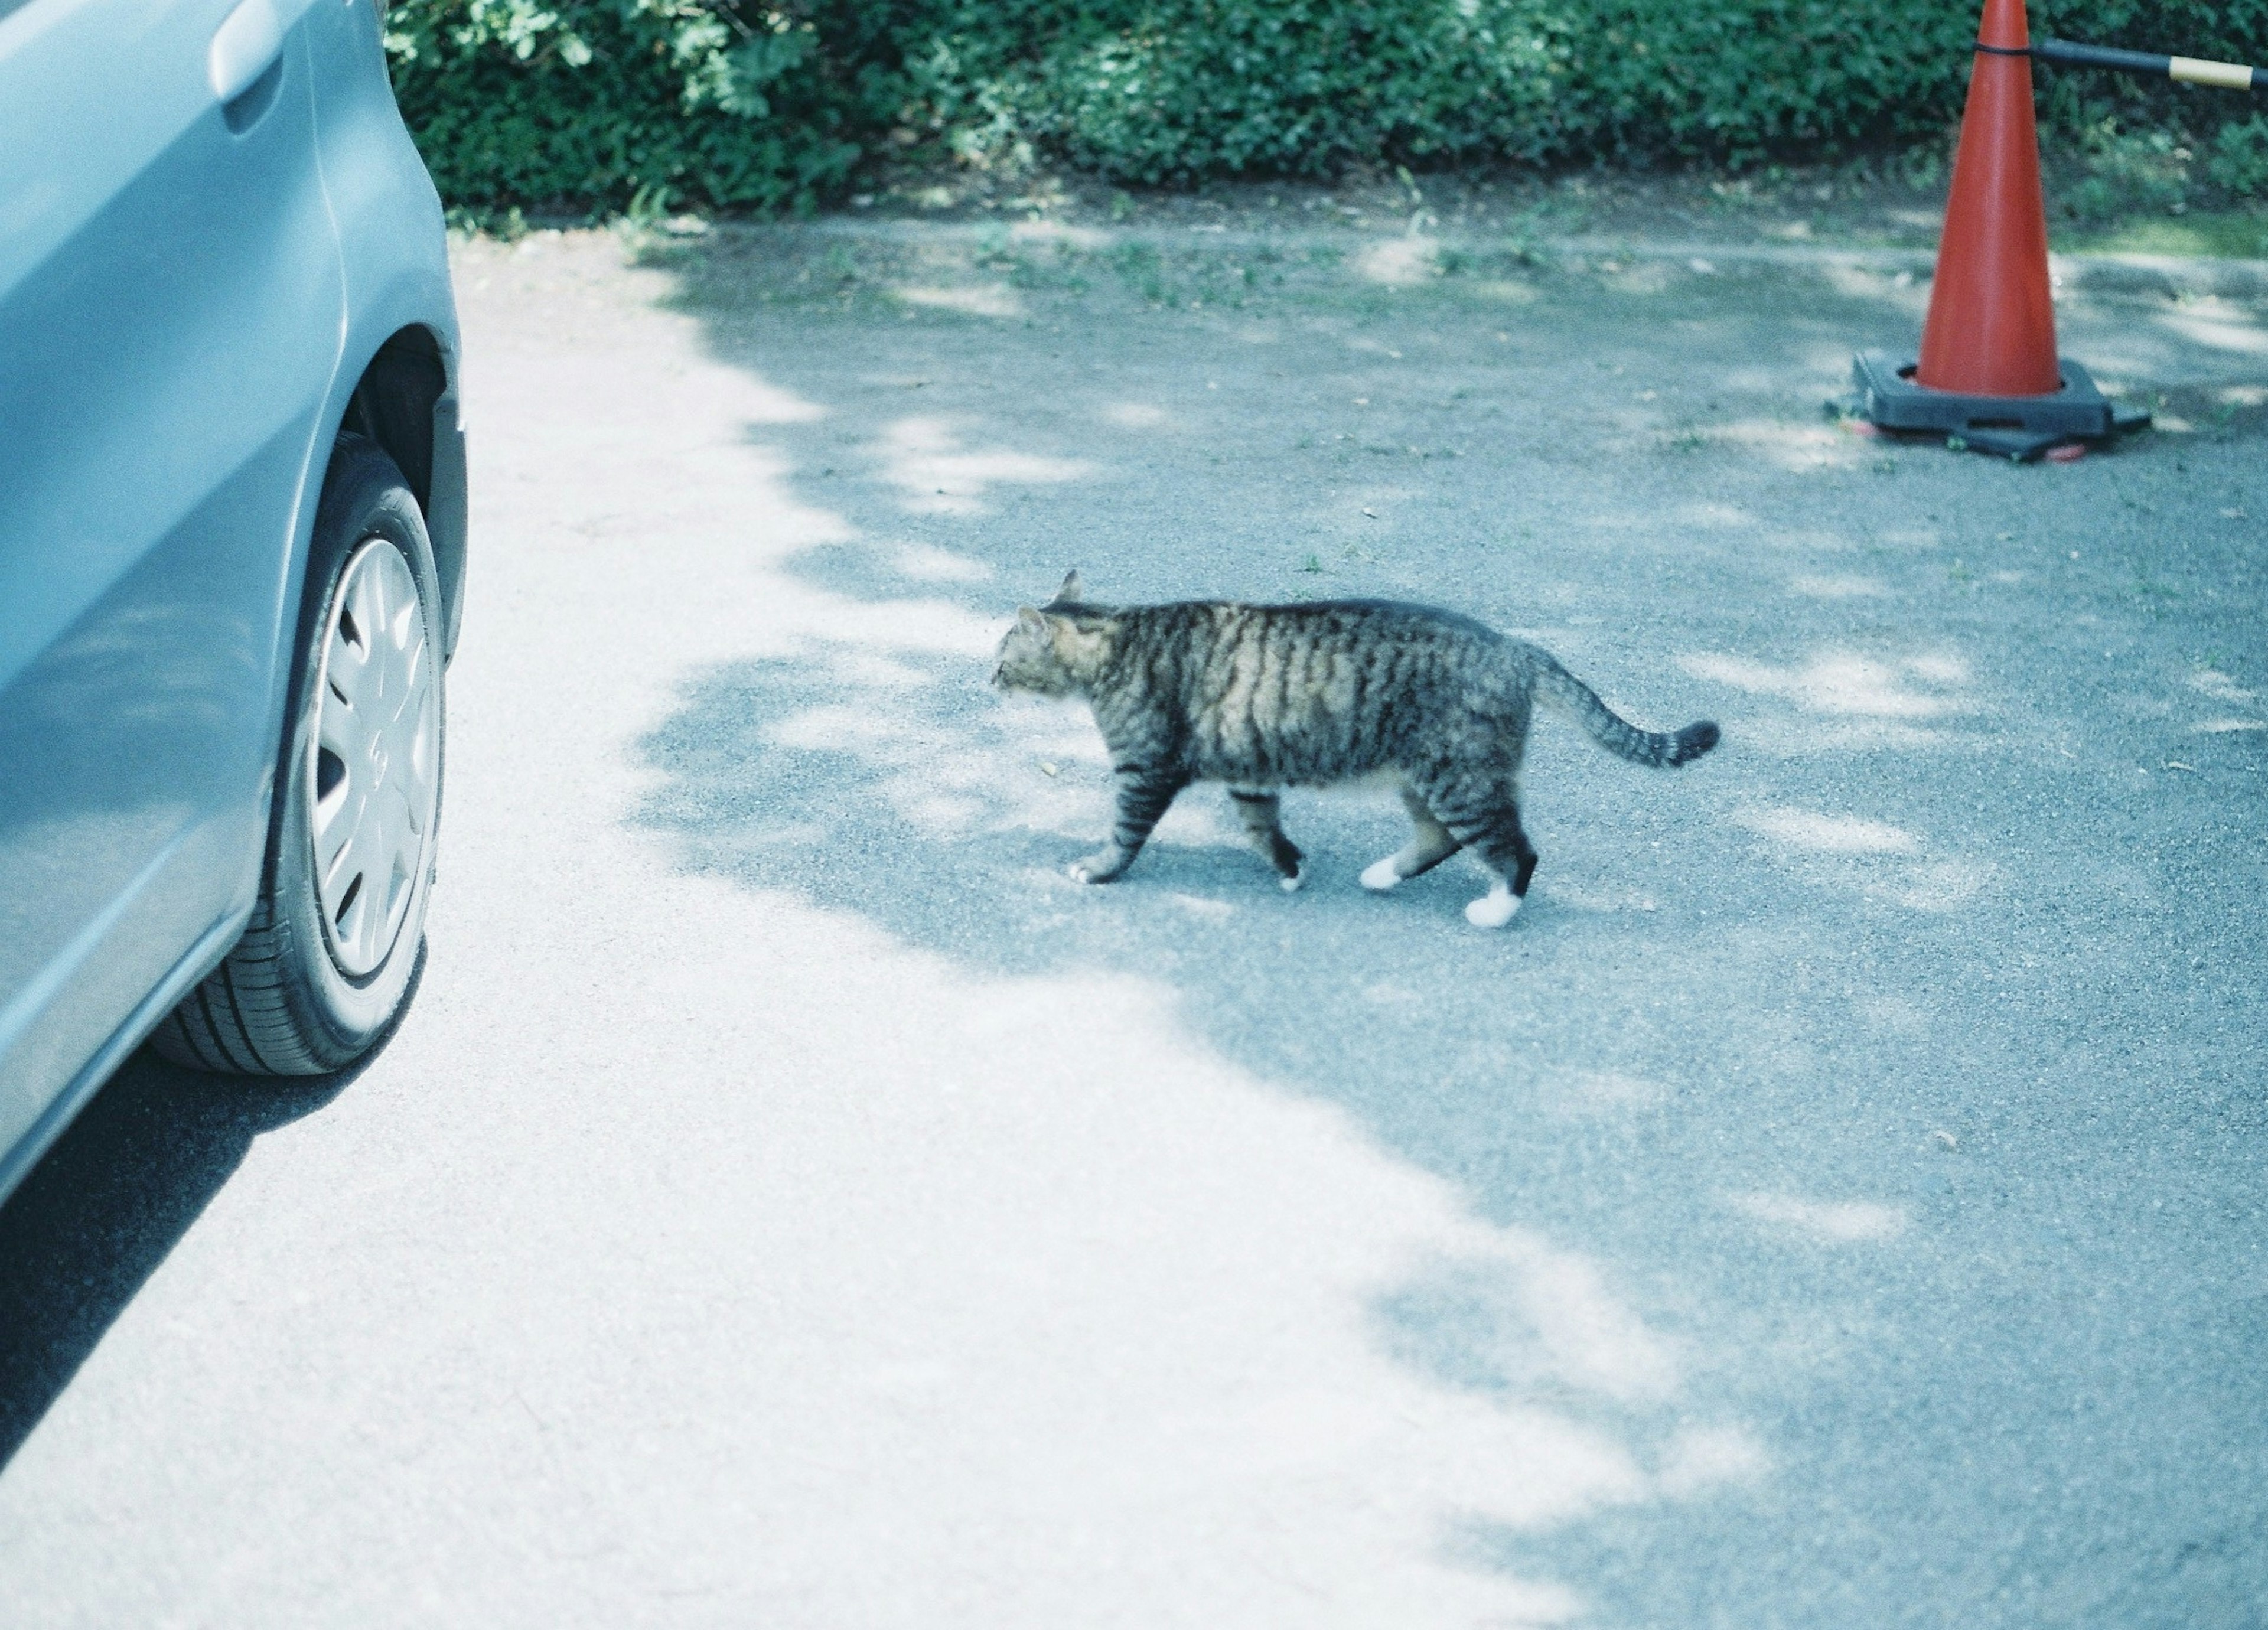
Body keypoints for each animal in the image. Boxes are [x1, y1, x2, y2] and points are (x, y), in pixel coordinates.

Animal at [993, 573, 1715, 929]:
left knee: (1516, 852)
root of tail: (1515, 646)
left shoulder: (1147, 771)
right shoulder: (1250, 772)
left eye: (1002, 659)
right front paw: (1291, 869)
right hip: (1422, 778)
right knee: (1439, 839)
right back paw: (1382, 876)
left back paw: (1493, 912)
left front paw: (1097, 870)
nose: (987, 681)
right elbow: (1263, 828)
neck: (1119, 639)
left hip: (1461, 779)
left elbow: (1124, 832)